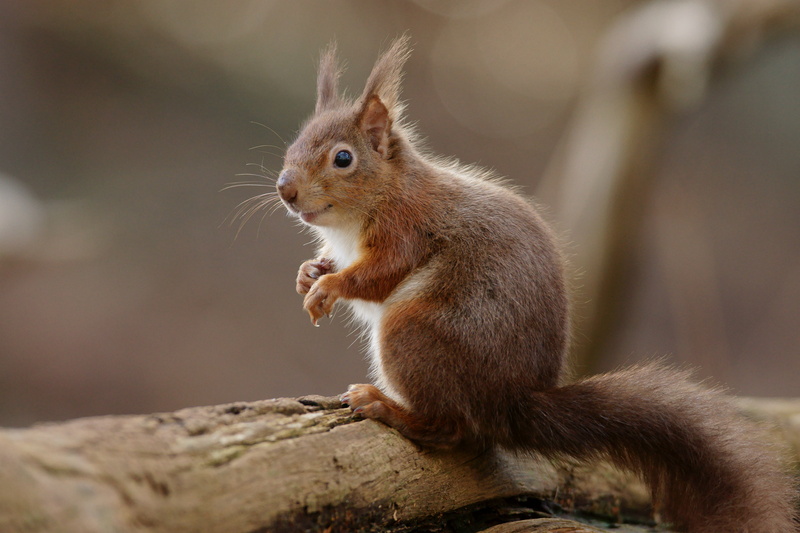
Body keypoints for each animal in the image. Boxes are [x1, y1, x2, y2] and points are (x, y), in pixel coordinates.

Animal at [275, 36, 798, 532]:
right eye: (294, 144)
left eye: (343, 158)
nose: (285, 189)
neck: (379, 197)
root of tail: (512, 404)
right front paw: (309, 274)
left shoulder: (407, 230)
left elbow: (378, 276)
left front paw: (330, 287)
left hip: (416, 331)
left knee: (452, 429)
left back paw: (385, 406)